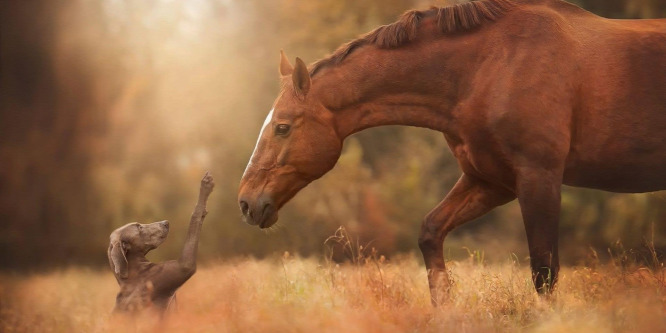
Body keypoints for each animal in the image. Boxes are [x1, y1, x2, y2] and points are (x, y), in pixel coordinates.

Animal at [107, 171, 214, 314]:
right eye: (139, 227)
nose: (166, 222)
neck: (133, 272)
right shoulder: (182, 267)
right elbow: (195, 216)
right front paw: (206, 185)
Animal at [237, 0, 664, 302]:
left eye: (282, 127)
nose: (245, 202)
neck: (491, 64)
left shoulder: (538, 178)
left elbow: (544, 272)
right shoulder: (491, 181)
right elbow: (430, 234)